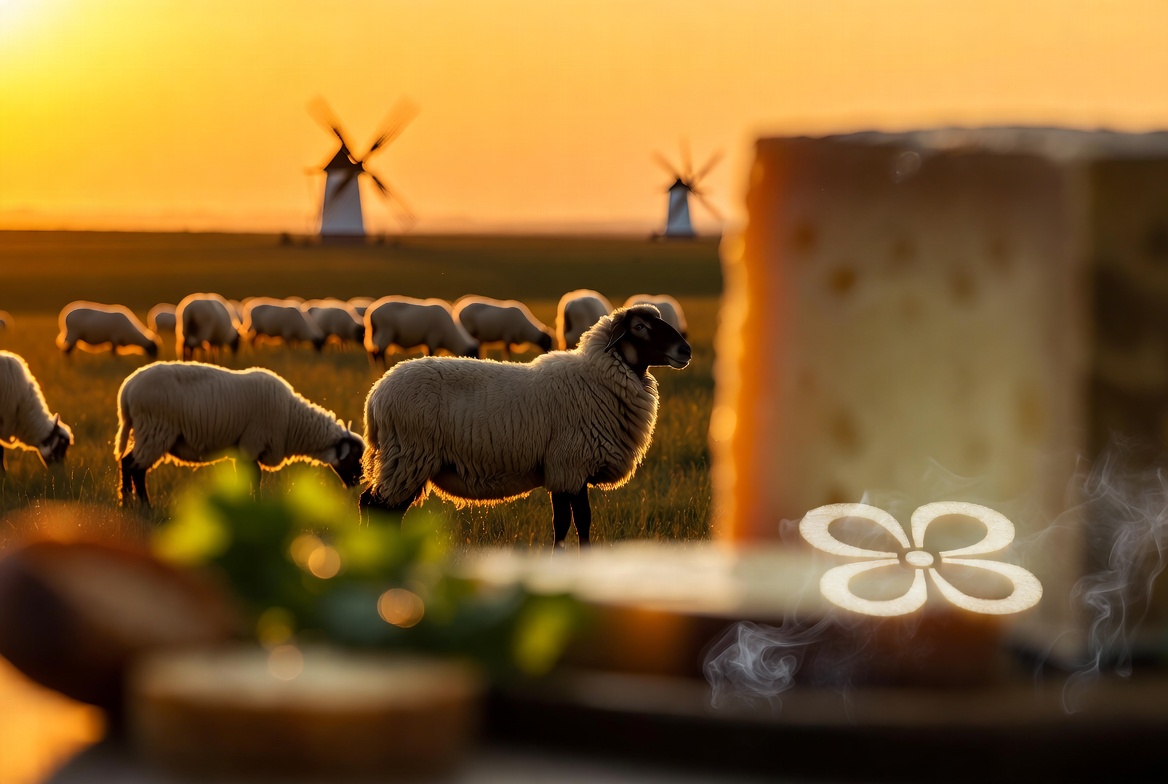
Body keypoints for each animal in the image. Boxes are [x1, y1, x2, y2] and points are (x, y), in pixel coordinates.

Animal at [115, 361, 365, 506]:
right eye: (355, 456)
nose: (357, 483)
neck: (292, 421)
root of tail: (127, 390)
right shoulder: (252, 443)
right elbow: (255, 477)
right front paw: (255, 505)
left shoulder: (241, 448)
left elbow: (244, 478)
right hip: (155, 430)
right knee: (136, 468)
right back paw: (145, 508)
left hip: (146, 431)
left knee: (126, 462)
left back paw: (125, 504)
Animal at [359, 304, 692, 547]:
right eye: (639, 327)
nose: (685, 350)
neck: (595, 379)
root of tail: (374, 396)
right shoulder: (569, 465)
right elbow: (570, 523)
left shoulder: (569, 469)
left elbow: (575, 523)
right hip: (409, 457)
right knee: (377, 507)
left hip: (404, 460)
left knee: (373, 506)